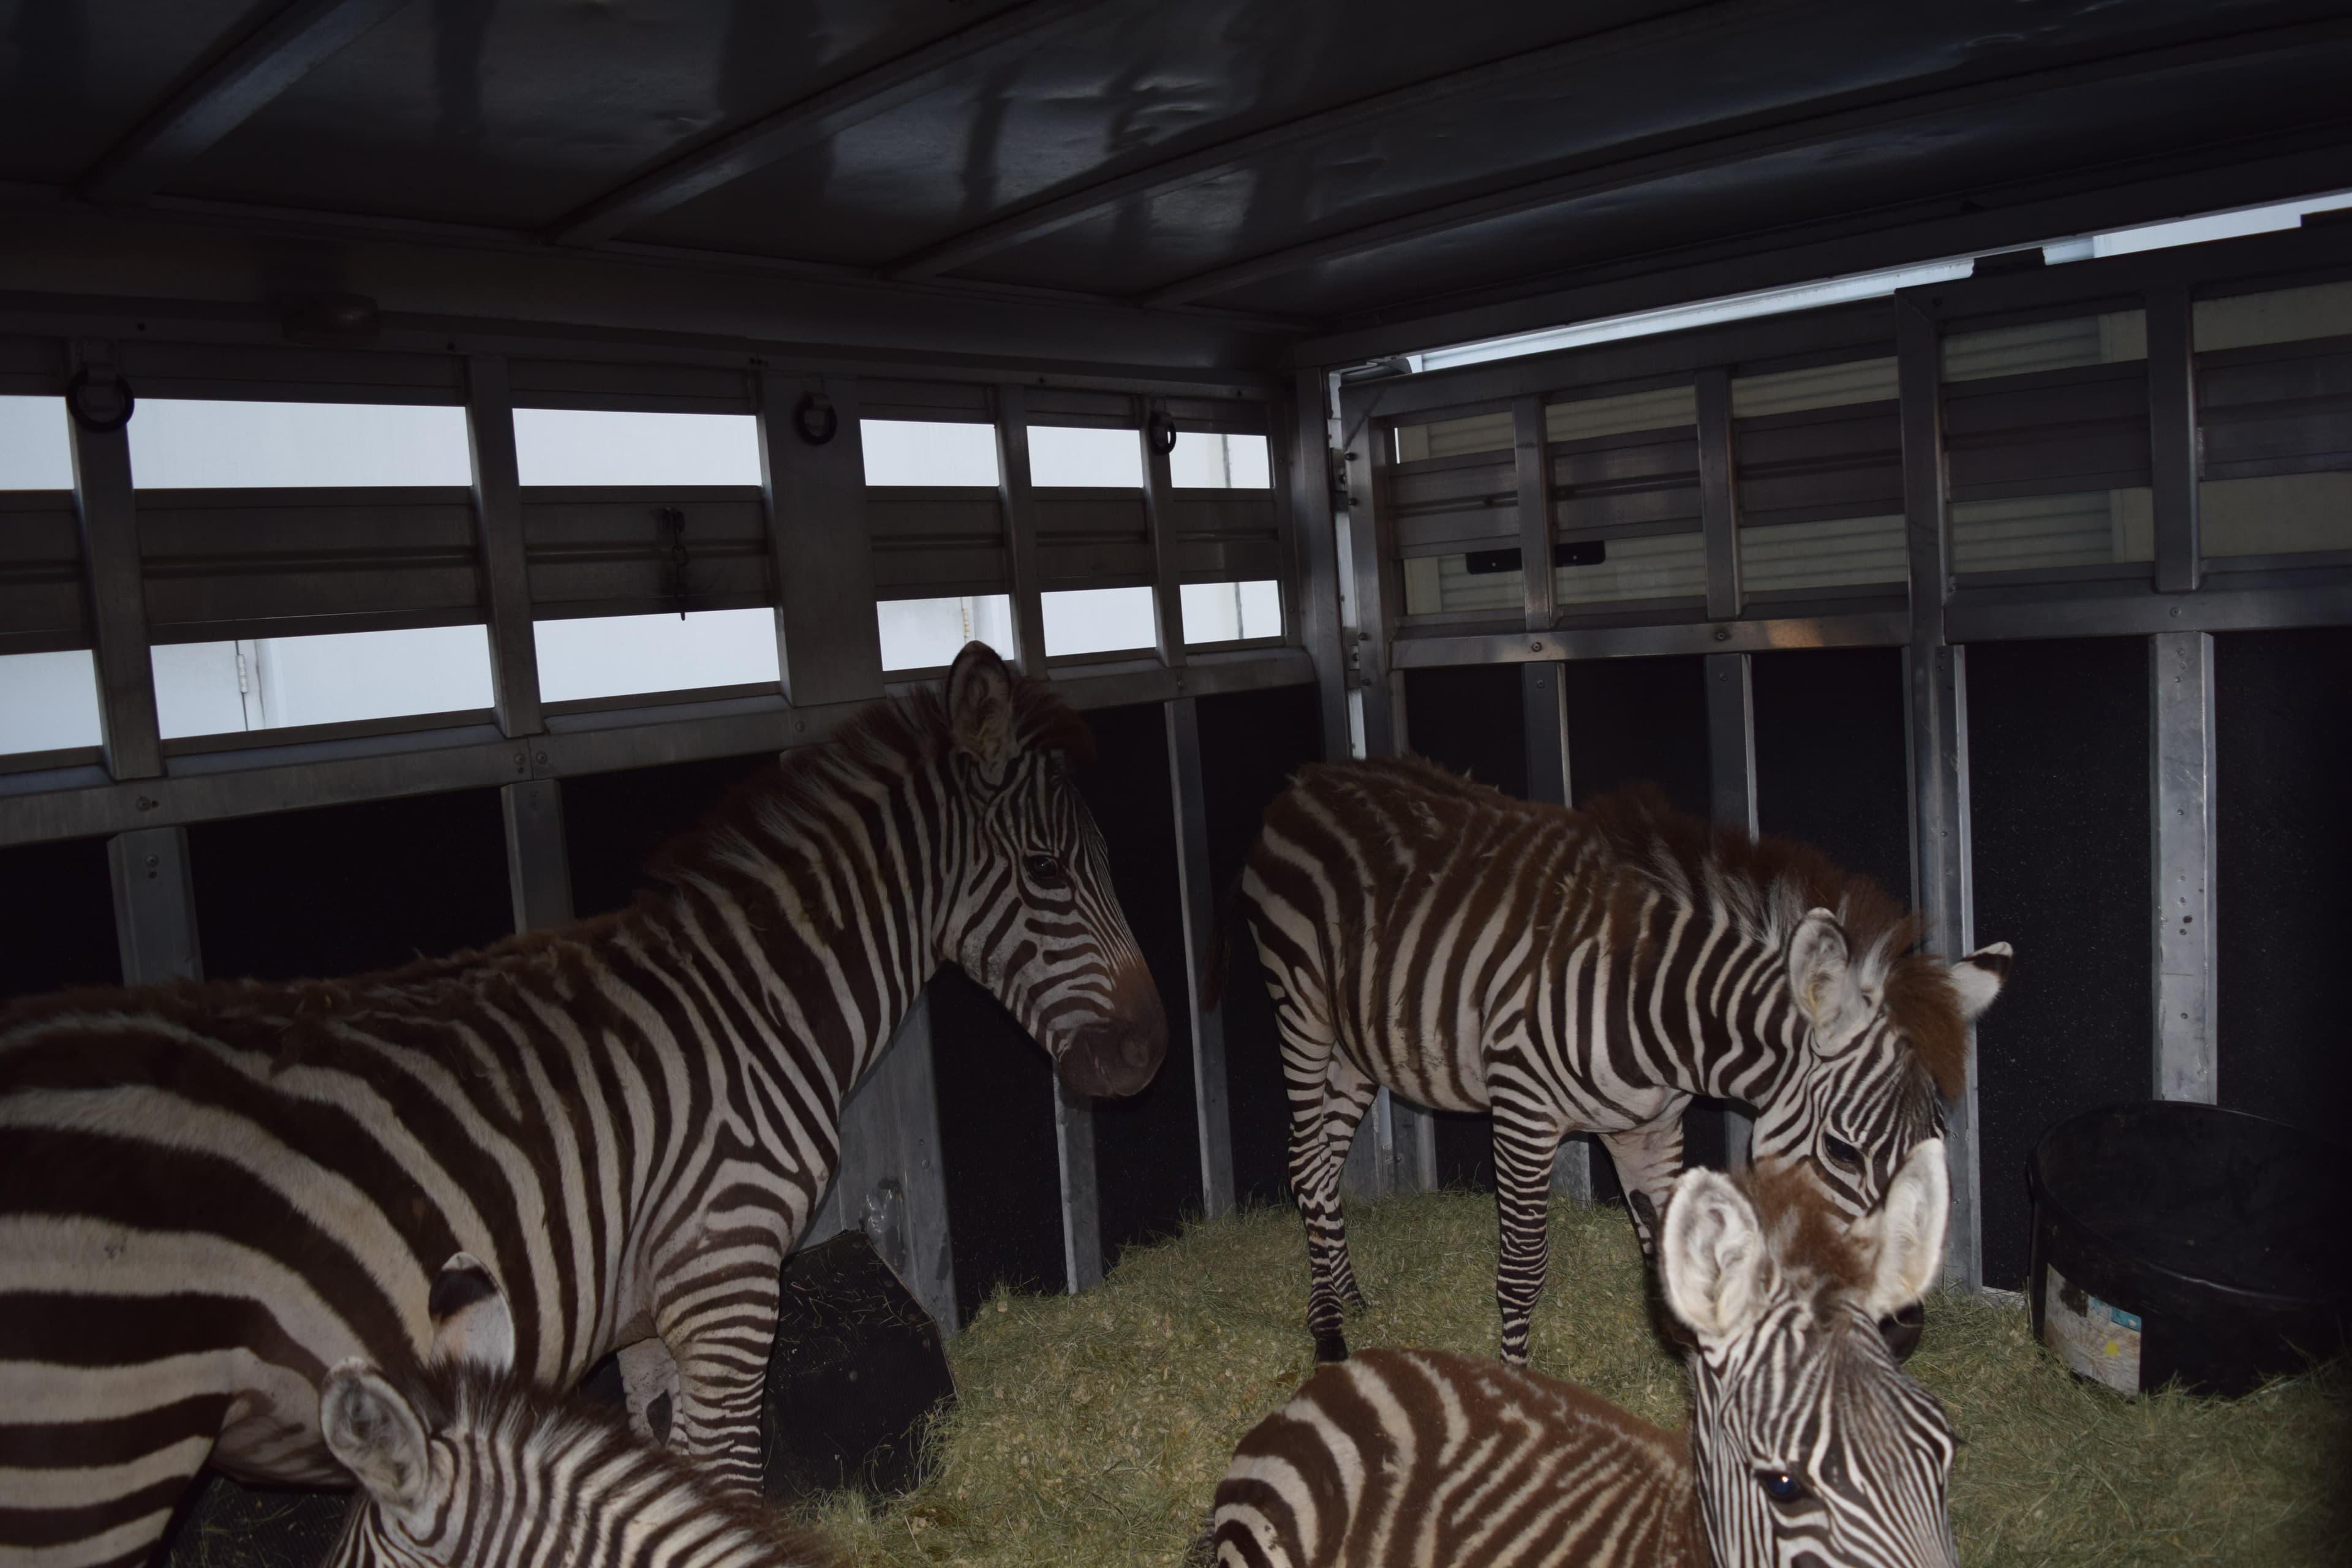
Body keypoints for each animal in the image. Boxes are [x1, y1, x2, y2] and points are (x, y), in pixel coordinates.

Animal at [1237, 762, 2007, 1362]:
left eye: (1934, 1148)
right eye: (1844, 1152)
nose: (1903, 1333)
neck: (1660, 1010)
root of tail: (1313, 778)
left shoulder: (1650, 1126)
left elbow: (1684, 1261)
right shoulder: (1524, 1112)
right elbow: (1523, 1267)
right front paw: (1518, 1384)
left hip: (1356, 1041)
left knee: (1326, 1157)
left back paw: (1351, 1294)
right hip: (1299, 1005)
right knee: (1307, 1161)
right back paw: (1328, 1331)